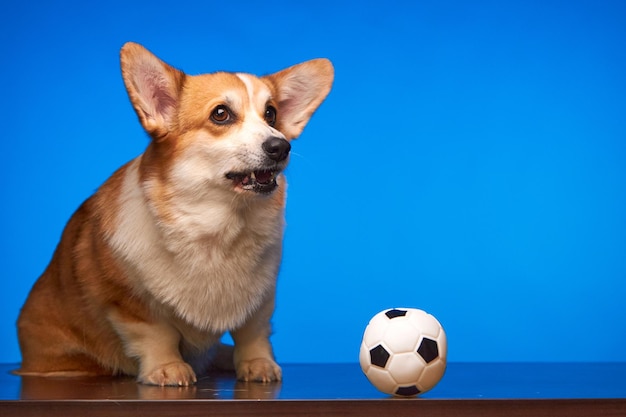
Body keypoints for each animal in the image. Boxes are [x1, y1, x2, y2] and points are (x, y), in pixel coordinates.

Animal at [15, 43, 332, 386]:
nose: (281, 146)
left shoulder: (260, 298)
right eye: (221, 113)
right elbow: (157, 334)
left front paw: (258, 363)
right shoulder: (129, 302)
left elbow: (253, 332)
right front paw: (167, 367)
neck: (219, 227)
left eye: (271, 114)